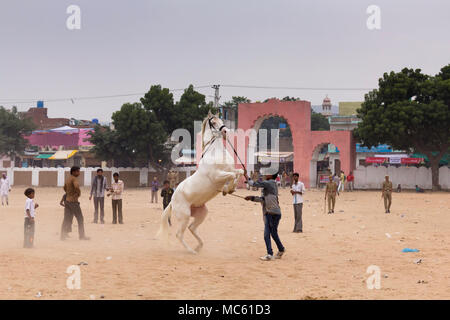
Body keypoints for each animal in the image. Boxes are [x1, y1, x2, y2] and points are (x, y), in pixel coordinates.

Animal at [157, 111, 244, 254]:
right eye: (213, 122)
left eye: (221, 119)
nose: (225, 131)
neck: (215, 153)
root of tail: (172, 202)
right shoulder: (217, 176)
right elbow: (232, 175)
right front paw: (227, 189)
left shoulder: (230, 169)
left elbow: (239, 172)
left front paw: (230, 189)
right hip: (185, 216)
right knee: (179, 234)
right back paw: (191, 251)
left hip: (202, 213)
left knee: (192, 228)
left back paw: (199, 247)